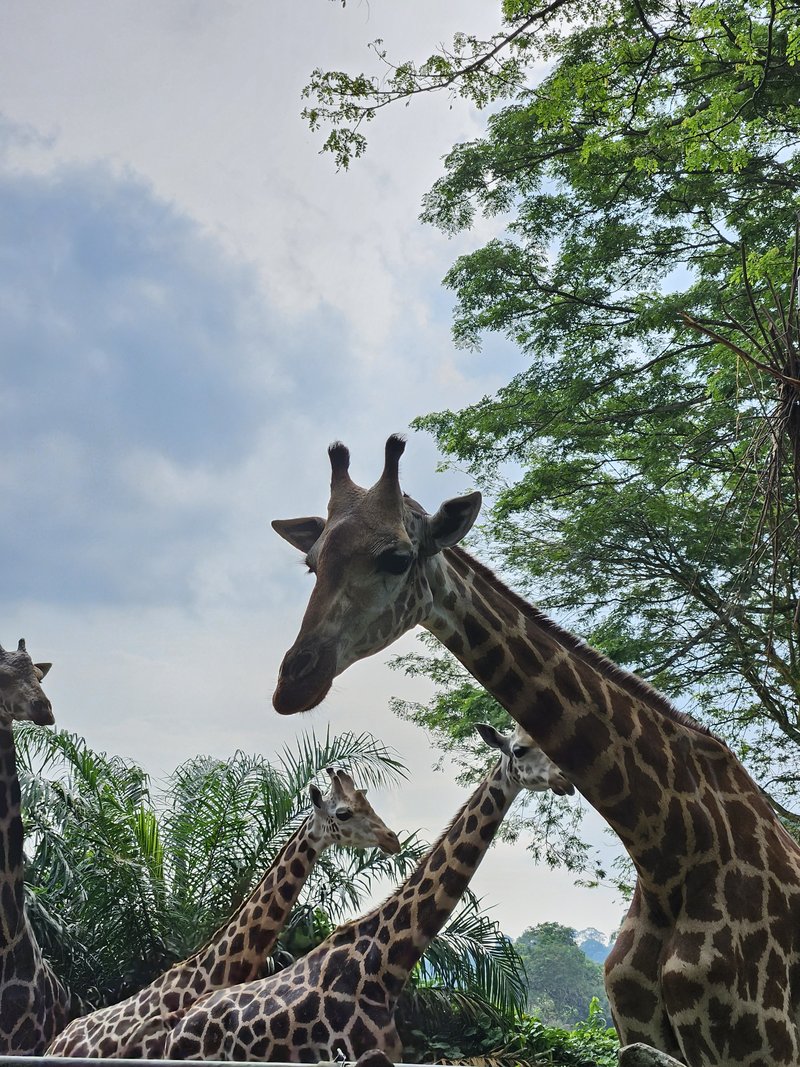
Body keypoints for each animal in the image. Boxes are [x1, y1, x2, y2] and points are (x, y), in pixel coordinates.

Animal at [269, 434, 800, 1067]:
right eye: (312, 562)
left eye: (396, 557)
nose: (292, 683)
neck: (669, 850)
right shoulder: (640, 1029)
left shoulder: (762, 1041)